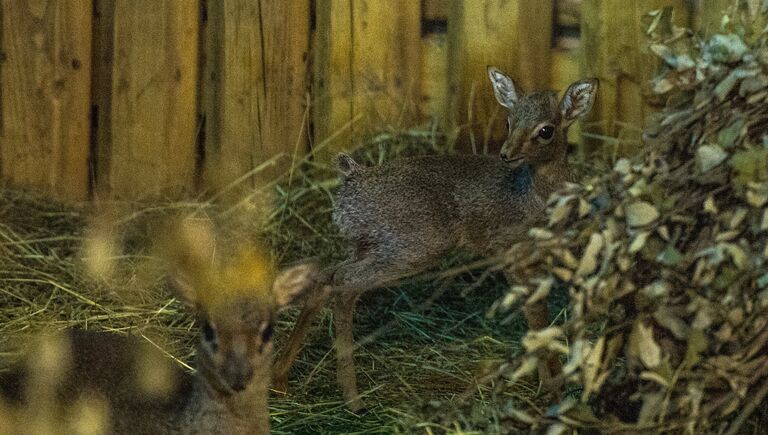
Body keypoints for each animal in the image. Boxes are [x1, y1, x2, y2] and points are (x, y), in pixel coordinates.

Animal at [272, 66, 596, 410]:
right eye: (509, 121)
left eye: (546, 130)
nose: (507, 154)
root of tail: (352, 179)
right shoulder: (513, 257)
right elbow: (538, 323)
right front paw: (554, 394)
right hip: (410, 250)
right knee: (345, 284)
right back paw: (353, 399)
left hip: (365, 247)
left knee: (326, 275)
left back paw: (281, 382)